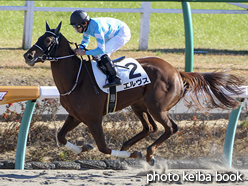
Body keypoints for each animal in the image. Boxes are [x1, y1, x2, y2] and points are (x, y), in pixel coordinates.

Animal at [24, 22, 243, 166]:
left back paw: (148, 153)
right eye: (39, 37)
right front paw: (83, 148)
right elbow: (61, 137)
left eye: (48, 39)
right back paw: (127, 146)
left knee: (170, 128)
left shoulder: (94, 119)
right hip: (138, 104)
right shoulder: (75, 116)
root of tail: (176, 71)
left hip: (157, 107)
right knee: (150, 127)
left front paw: (130, 155)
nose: (28, 55)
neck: (76, 80)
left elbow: (103, 147)